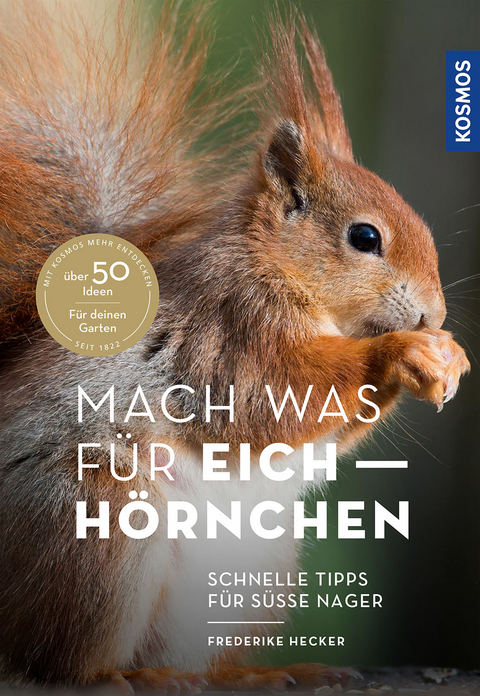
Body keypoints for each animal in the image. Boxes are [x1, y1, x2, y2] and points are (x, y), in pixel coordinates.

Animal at [0, 1, 470, 692]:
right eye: (364, 237)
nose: (432, 314)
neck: (277, 268)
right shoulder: (226, 327)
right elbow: (265, 399)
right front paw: (401, 352)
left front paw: (446, 355)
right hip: (96, 514)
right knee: (61, 661)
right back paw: (127, 676)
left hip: (256, 569)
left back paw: (261, 672)